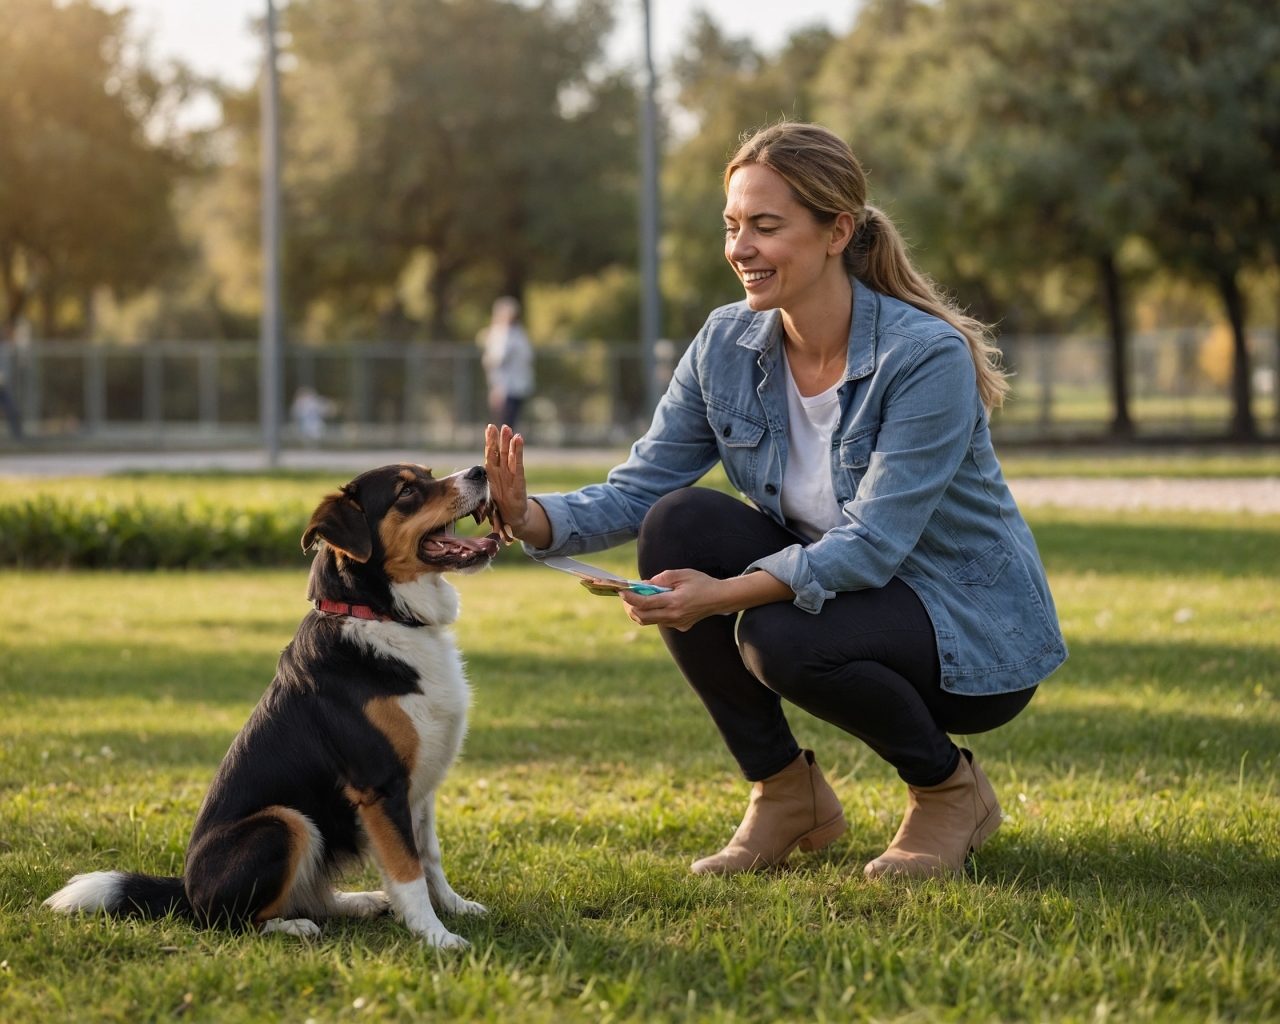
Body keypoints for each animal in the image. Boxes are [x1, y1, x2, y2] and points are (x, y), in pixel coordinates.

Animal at [46, 460, 504, 942]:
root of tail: (186, 891)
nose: (479, 470)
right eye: (406, 492)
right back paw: (295, 927)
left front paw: (455, 908)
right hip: (284, 821)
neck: (382, 616)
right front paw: (435, 936)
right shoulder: (381, 785)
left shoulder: (420, 787)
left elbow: (430, 858)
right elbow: (407, 870)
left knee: (310, 894)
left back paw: (360, 901)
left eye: (429, 474)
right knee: (232, 921)